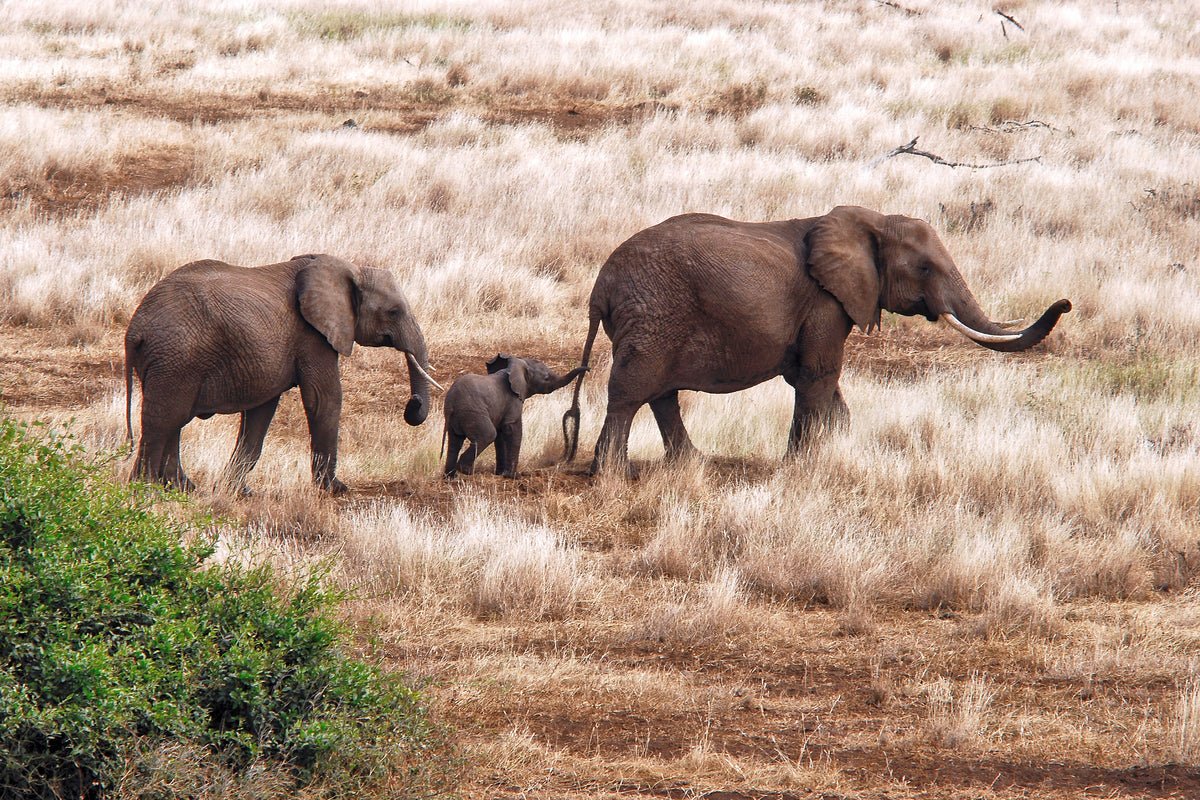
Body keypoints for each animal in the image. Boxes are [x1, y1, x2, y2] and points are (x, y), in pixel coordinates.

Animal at [124, 253, 441, 495]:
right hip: (176, 358)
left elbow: (261, 413)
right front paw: (335, 489)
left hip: (173, 362)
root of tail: (134, 329)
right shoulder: (312, 335)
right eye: (394, 311)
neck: (349, 267)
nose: (412, 405)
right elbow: (323, 399)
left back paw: (181, 489)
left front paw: (239, 492)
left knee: (173, 421)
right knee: (164, 419)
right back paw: (145, 490)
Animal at [443, 353, 586, 479]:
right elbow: (511, 429)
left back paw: (451, 476)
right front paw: (513, 476)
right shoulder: (514, 400)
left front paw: (500, 474)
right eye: (546, 378)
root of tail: (451, 401)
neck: (517, 365)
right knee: (487, 435)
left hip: (457, 417)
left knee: (455, 442)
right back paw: (466, 471)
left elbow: (501, 435)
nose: (588, 368)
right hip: (472, 412)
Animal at [562, 205, 1071, 475]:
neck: (872, 221)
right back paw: (609, 475)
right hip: (654, 312)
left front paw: (838, 451)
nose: (1064, 303)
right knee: (631, 390)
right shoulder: (827, 302)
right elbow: (818, 374)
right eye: (925, 268)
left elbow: (818, 380)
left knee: (661, 393)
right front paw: (800, 466)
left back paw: (694, 466)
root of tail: (600, 287)